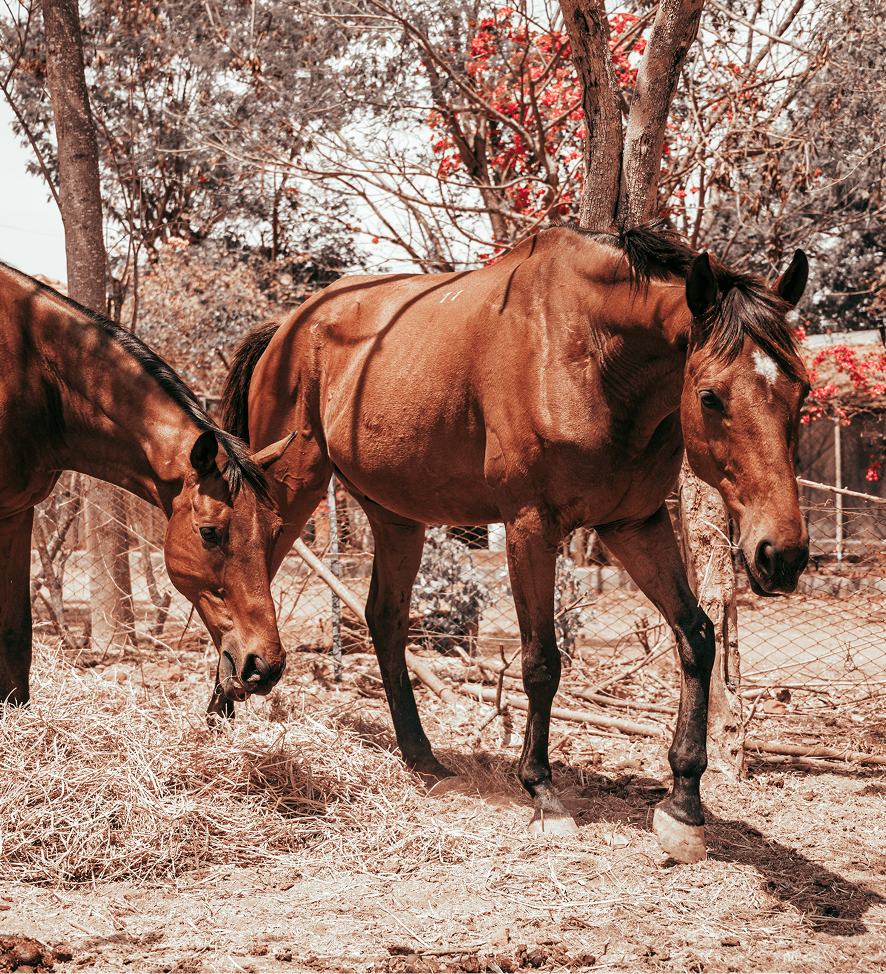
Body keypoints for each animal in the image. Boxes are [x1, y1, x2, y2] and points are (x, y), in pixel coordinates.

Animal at [0, 262, 295, 711]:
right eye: (209, 533)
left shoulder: (17, 511)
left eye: (276, 531)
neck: (31, 368)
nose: (265, 665)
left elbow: (16, 633)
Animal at [220, 223, 810, 863]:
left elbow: (697, 637)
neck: (589, 354)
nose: (783, 555)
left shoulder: (636, 524)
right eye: (710, 396)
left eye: (801, 391)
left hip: (396, 518)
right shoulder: (530, 527)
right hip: (290, 491)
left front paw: (684, 806)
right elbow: (541, 661)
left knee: (385, 620)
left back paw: (422, 760)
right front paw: (543, 794)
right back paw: (221, 716)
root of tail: (288, 328)